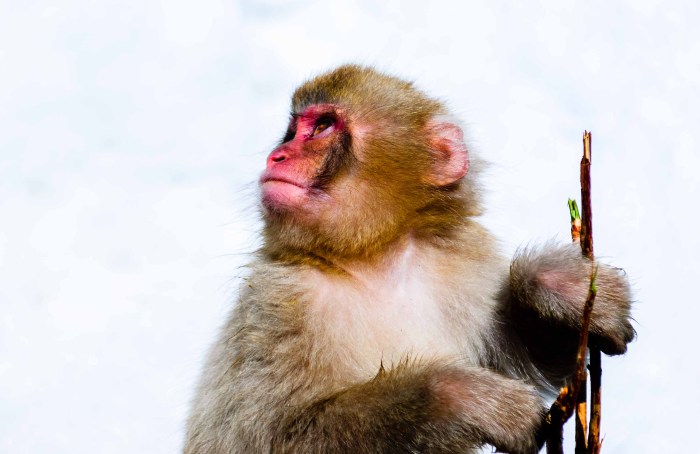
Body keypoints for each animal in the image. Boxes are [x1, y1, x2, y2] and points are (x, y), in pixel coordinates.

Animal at [184, 65, 634, 454]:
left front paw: (558, 286)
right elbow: (263, 438)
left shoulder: (461, 264)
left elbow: (549, 364)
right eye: (293, 132)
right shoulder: (277, 302)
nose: (276, 156)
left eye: (321, 127)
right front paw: (459, 397)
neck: (374, 260)